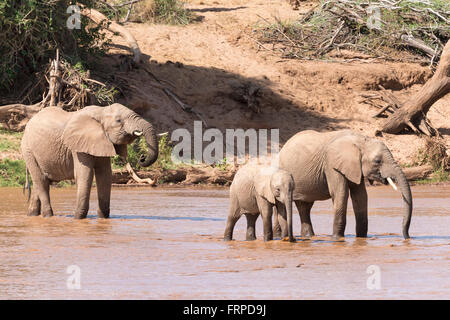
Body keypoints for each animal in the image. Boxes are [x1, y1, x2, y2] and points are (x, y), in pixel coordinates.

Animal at [21, 104, 159, 219]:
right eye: (118, 121)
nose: (142, 157)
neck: (101, 111)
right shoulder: (77, 147)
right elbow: (85, 174)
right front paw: (78, 219)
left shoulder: (102, 141)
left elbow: (105, 175)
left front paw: (103, 218)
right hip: (28, 150)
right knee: (41, 181)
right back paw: (48, 216)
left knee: (40, 182)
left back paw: (32, 215)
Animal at [278, 129, 412, 239]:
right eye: (377, 161)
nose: (407, 237)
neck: (360, 140)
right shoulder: (332, 165)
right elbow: (341, 194)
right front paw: (337, 238)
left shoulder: (355, 168)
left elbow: (361, 196)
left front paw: (361, 238)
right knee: (302, 205)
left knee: (305, 206)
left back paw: (309, 237)